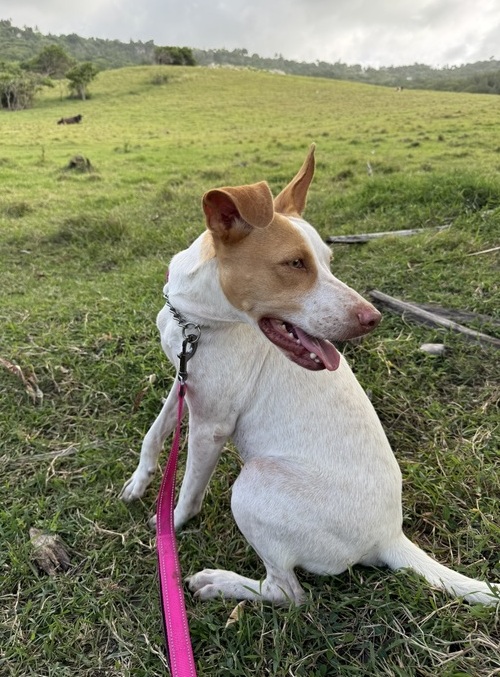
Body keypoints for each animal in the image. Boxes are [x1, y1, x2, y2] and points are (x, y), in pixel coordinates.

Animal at [121, 145, 498, 606]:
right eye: (295, 263)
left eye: (328, 262)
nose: (373, 319)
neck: (197, 320)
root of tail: (390, 537)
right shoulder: (185, 380)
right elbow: (154, 433)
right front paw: (139, 482)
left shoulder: (211, 425)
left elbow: (189, 493)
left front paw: (168, 531)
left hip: (255, 483)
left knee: (289, 593)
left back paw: (220, 582)